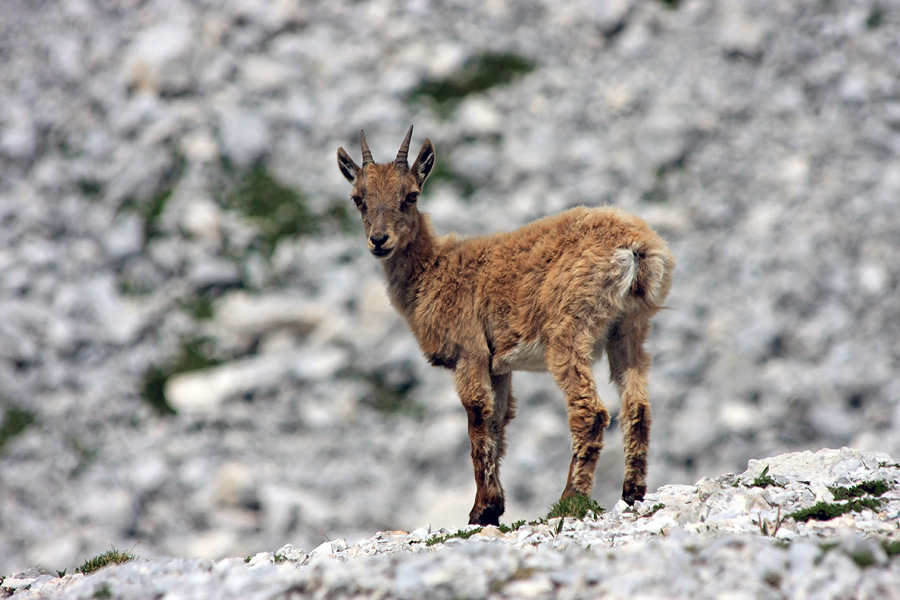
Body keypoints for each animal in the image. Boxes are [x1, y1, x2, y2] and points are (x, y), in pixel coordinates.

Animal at [337, 126, 674, 526]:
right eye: (359, 199)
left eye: (411, 195)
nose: (379, 240)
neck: (433, 272)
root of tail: (638, 249)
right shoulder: (498, 367)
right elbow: (498, 421)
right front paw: (493, 506)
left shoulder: (470, 353)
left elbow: (477, 419)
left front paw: (481, 511)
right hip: (629, 330)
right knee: (637, 406)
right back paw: (632, 492)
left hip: (569, 331)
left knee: (590, 412)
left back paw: (570, 500)